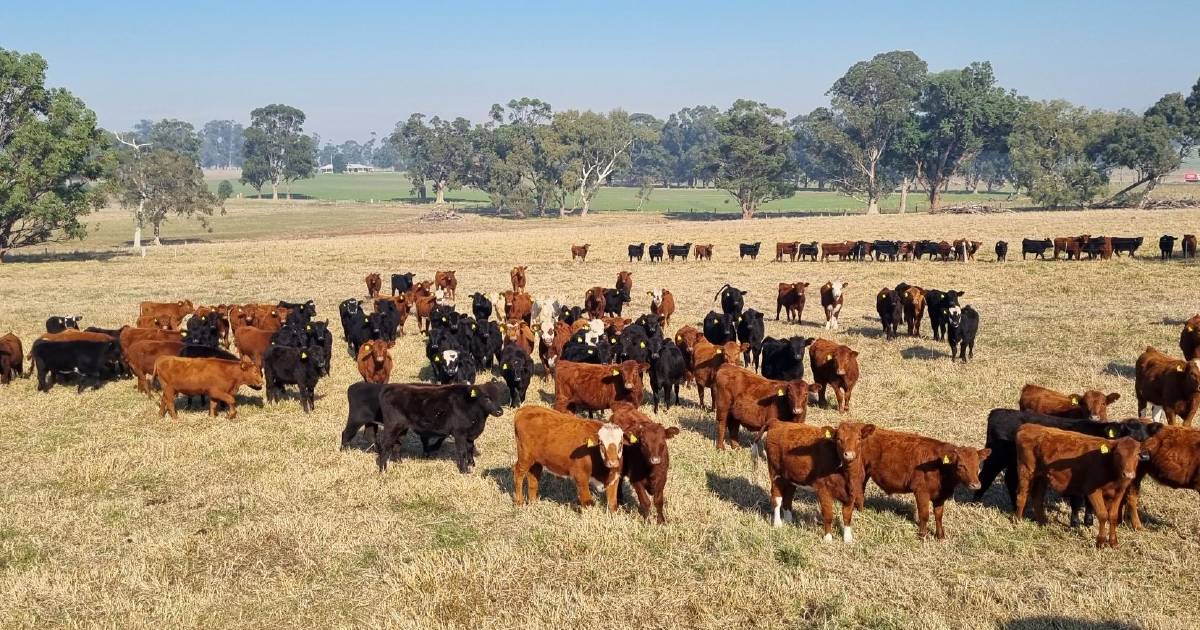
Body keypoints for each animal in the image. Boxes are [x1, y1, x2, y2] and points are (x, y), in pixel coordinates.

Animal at [376, 379, 504, 470]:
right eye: (487, 398)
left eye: (499, 397)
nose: (499, 412)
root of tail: (392, 387)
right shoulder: (459, 433)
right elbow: (462, 451)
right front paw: (464, 470)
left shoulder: (470, 434)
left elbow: (470, 449)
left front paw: (472, 464)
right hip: (391, 426)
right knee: (385, 445)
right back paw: (383, 469)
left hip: (402, 428)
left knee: (397, 445)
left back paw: (399, 463)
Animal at [859, 424, 988, 537]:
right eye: (961, 465)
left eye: (978, 465)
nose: (976, 485)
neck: (939, 467)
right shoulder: (921, 492)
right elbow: (924, 515)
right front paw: (922, 535)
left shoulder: (940, 496)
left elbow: (939, 515)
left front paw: (940, 536)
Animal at [974, 405, 1161, 523]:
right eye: (1130, 437)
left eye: (1146, 439)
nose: (1144, 456)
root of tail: (997, 412)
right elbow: (1077, 500)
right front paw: (1077, 522)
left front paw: (1088, 521)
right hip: (996, 458)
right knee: (986, 476)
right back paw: (975, 502)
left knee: (1011, 480)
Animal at [1012, 424, 1142, 547]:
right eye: (1118, 454)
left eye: (1137, 454)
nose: (1128, 474)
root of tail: (1027, 426)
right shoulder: (1092, 490)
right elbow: (1103, 515)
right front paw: (1100, 542)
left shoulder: (1119, 492)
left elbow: (1113, 516)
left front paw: (1114, 542)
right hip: (1026, 471)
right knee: (1021, 496)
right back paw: (1017, 521)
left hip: (1041, 476)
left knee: (1037, 498)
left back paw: (1044, 523)